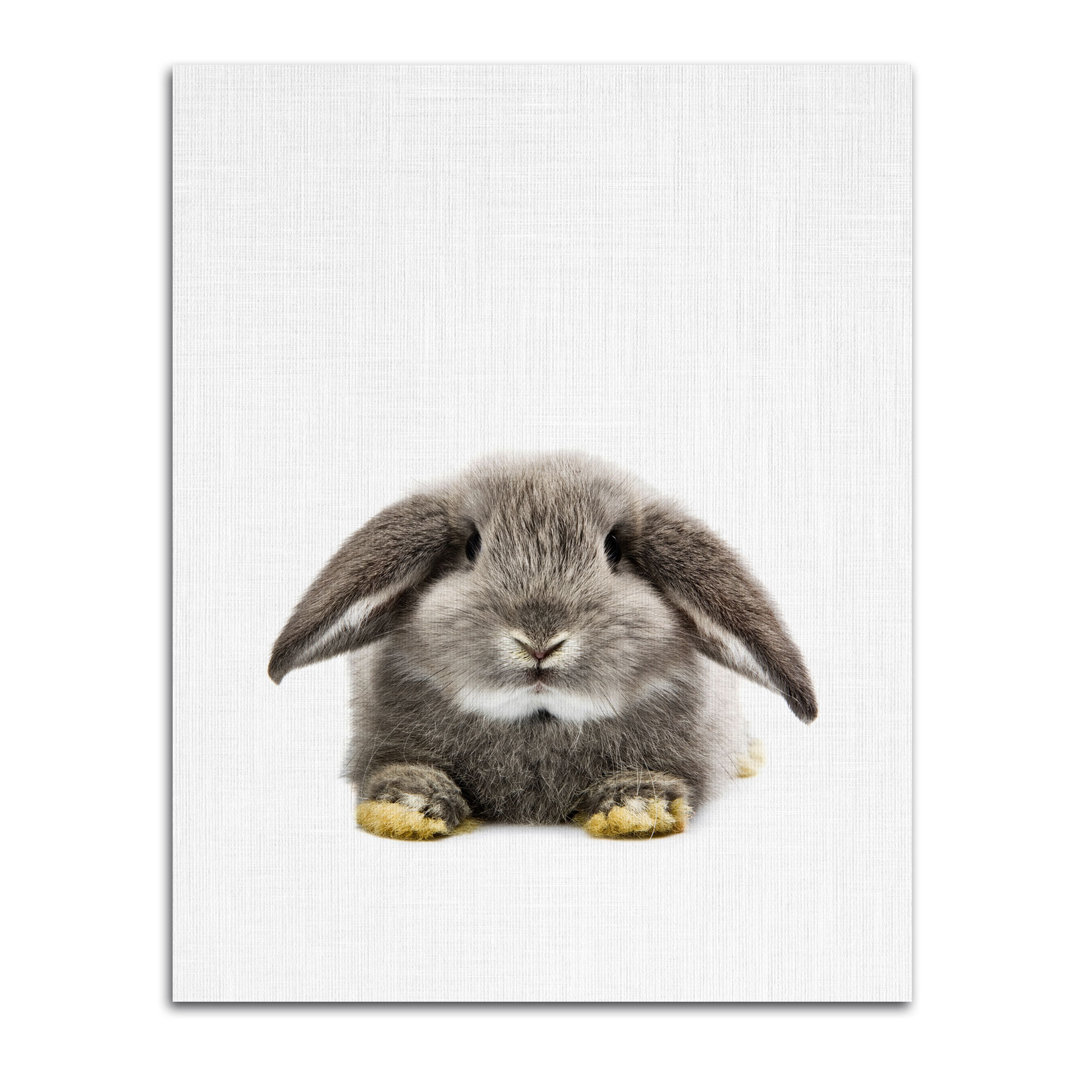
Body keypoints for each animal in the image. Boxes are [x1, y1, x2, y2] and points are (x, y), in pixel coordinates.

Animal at [269, 453, 816, 840]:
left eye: (613, 549)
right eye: (472, 547)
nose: (539, 641)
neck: (538, 723)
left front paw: (636, 807)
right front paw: (408, 807)